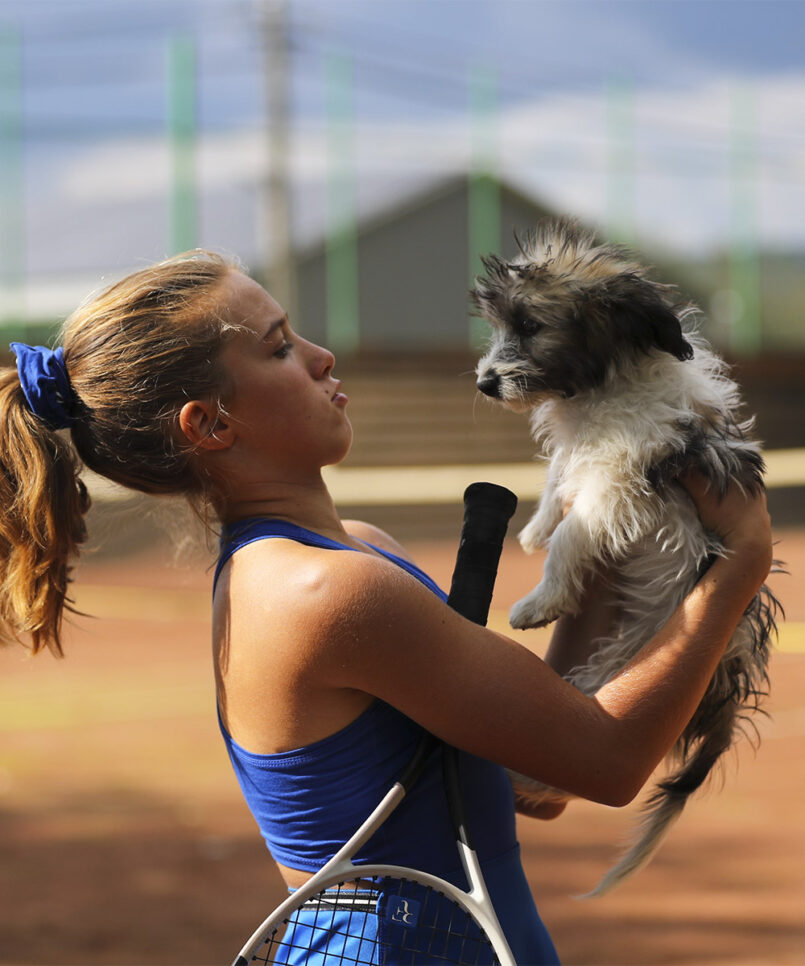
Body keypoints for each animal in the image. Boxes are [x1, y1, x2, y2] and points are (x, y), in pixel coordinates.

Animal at [472, 221, 780, 900]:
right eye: (500, 324)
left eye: (529, 324)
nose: (483, 384)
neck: (603, 388)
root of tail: (732, 666)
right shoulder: (584, 461)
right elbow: (557, 480)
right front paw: (534, 529)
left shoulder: (618, 478)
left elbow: (573, 533)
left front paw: (540, 600)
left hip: (622, 662)